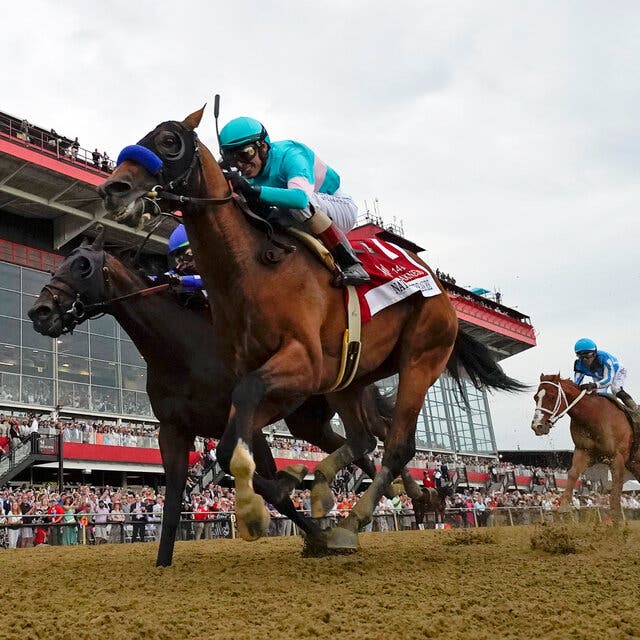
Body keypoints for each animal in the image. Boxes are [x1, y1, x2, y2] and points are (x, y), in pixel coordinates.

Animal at [26, 231, 390, 564]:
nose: (39, 311)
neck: (185, 350)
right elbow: (174, 500)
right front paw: (162, 562)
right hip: (308, 423)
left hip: (346, 399)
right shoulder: (173, 430)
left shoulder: (250, 423)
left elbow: (266, 484)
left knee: (377, 438)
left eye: (82, 265)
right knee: (360, 449)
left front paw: (315, 531)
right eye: (63, 262)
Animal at [96, 106, 524, 552]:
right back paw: (346, 493)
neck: (252, 267)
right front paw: (285, 484)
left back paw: (355, 518)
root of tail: (439, 287)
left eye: (168, 141)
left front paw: (257, 504)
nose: (112, 188)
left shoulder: (300, 365)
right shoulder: (260, 378)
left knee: (396, 445)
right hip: (347, 379)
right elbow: (235, 437)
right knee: (364, 439)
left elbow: (238, 427)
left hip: (420, 359)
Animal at [528, 376, 640, 520]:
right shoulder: (583, 452)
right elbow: (572, 473)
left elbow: (616, 489)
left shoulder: (617, 458)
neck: (593, 416)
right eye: (535, 397)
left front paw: (617, 518)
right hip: (635, 464)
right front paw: (564, 508)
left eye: (552, 397)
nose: (537, 426)